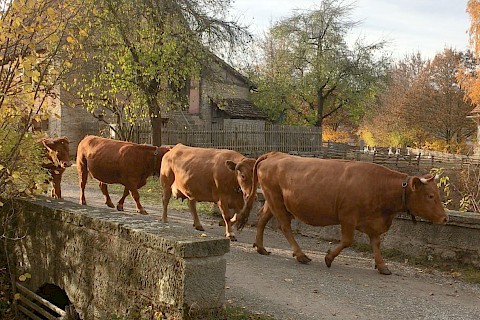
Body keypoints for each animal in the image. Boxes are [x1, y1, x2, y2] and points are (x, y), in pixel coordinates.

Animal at [240, 152, 450, 276]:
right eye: (430, 195)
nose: (445, 218)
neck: (378, 185)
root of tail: (274, 154)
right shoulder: (348, 216)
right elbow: (348, 240)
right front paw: (329, 258)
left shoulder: (373, 222)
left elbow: (376, 243)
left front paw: (382, 266)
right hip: (275, 198)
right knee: (284, 225)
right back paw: (301, 255)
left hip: (273, 200)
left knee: (262, 218)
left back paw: (261, 247)